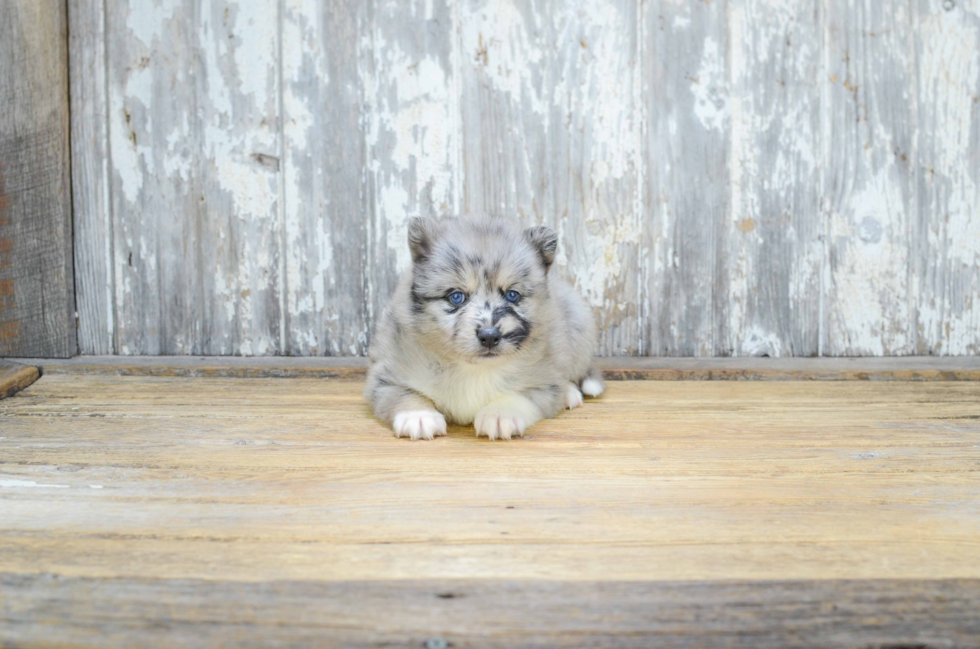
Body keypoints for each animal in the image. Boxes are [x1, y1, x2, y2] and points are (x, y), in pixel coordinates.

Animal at [364, 215, 600, 438]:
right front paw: (419, 416)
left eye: (512, 295)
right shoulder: (385, 377)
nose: (489, 336)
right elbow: (405, 394)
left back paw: (569, 393)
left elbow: (518, 395)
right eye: (456, 296)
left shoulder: (544, 384)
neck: (474, 369)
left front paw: (500, 415)